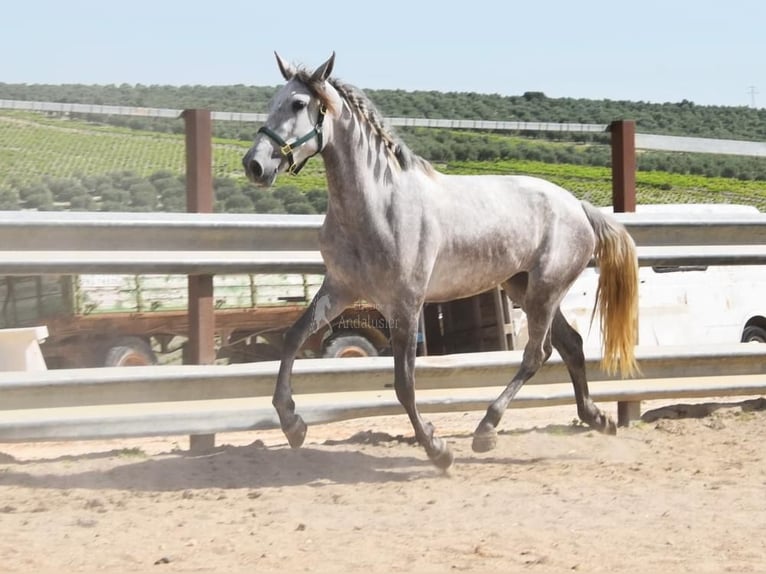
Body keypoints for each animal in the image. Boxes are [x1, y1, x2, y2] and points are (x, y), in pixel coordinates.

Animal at [246, 51, 640, 470]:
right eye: (272, 101)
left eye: (297, 104)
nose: (254, 165)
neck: (379, 206)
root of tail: (579, 207)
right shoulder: (340, 288)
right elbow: (293, 338)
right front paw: (292, 425)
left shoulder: (405, 302)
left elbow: (404, 382)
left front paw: (437, 450)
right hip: (524, 287)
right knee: (571, 344)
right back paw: (596, 418)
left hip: (545, 291)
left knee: (538, 353)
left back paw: (486, 430)